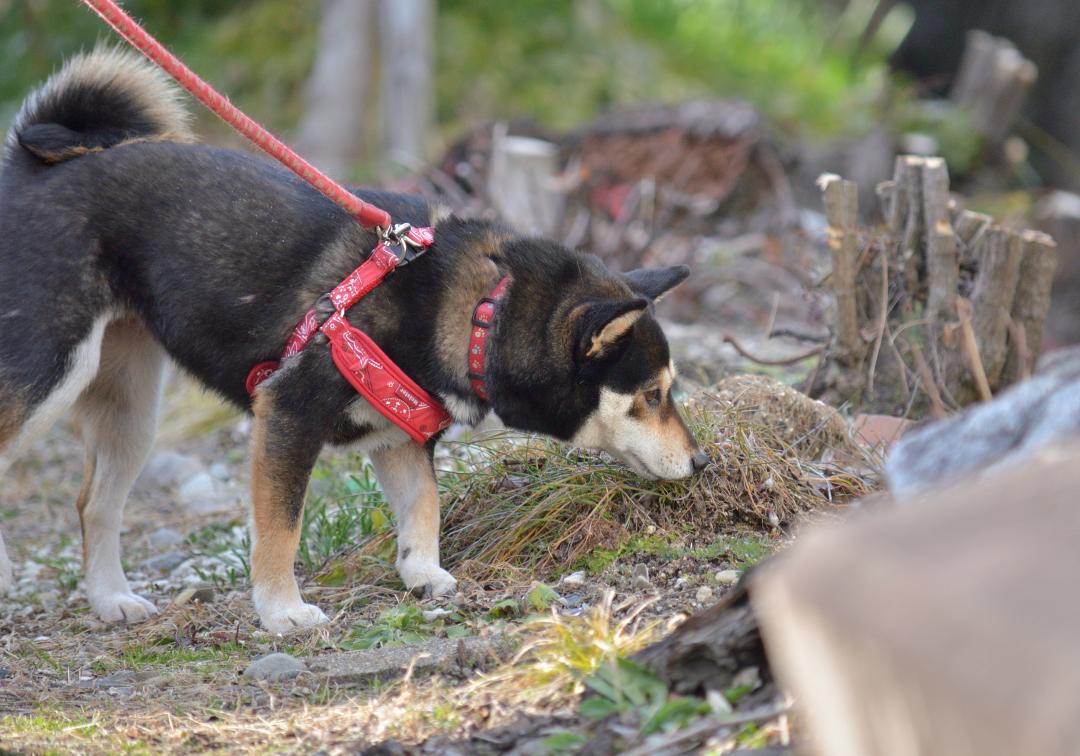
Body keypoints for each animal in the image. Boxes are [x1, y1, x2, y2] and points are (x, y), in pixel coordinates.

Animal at [0, 50, 704, 635]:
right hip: (48, 377)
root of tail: (34, 169)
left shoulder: (400, 432)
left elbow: (423, 508)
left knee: (94, 503)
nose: (701, 463)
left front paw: (423, 573)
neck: (483, 310)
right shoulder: (288, 411)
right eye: (650, 395)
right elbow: (281, 530)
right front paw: (281, 610)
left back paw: (111, 600)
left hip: (131, 409)